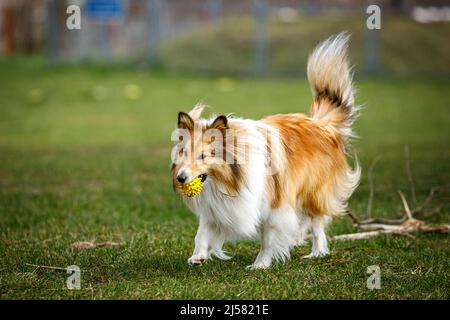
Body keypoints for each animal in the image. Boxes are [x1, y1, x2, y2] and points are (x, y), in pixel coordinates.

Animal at [171, 32, 360, 268]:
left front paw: (260, 264)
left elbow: (268, 238)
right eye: (183, 154)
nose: (180, 178)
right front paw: (198, 256)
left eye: (204, 156)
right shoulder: (218, 209)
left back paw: (317, 252)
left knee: (317, 223)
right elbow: (202, 232)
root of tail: (320, 124)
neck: (228, 180)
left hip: (314, 192)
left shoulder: (274, 206)